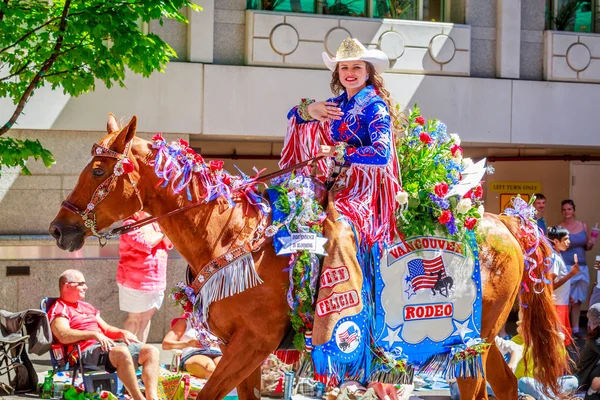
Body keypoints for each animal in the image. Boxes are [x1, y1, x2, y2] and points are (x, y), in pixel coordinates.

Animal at [48, 114, 568, 398]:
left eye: (99, 171)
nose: (59, 229)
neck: (233, 235)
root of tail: (504, 222)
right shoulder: (243, 350)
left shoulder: (253, 343)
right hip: (484, 338)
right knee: (504, 386)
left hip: (470, 341)